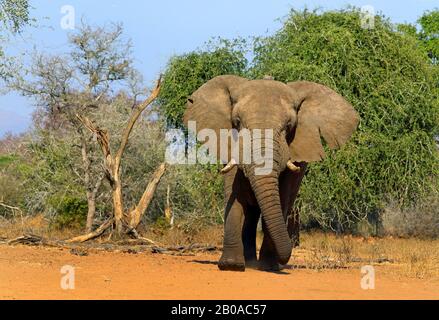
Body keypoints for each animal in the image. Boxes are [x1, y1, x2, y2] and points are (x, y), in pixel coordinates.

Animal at [184, 75, 360, 272]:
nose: (285, 257)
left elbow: (281, 197)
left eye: (288, 126)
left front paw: (268, 266)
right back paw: (249, 261)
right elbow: (234, 194)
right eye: (237, 122)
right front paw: (231, 266)